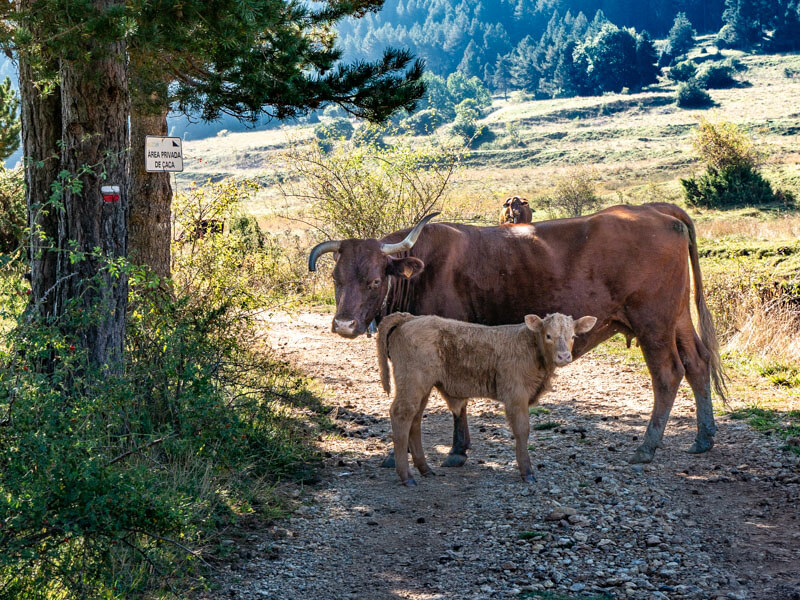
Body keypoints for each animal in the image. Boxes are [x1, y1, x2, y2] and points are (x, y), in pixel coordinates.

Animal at [307, 203, 726, 466]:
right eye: (337, 278)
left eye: (375, 280)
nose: (344, 324)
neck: (426, 269)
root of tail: (655, 210)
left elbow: (454, 399)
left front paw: (456, 451)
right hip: (677, 318)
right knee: (697, 363)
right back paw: (704, 437)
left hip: (653, 323)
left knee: (668, 374)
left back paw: (648, 447)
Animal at [377, 312, 597, 485]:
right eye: (548, 335)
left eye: (572, 336)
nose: (564, 356)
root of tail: (410, 318)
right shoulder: (516, 396)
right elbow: (522, 431)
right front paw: (527, 472)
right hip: (412, 382)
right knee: (401, 415)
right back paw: (406, 476)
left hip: (422, 387)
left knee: (414, 420)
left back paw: (425, 469)